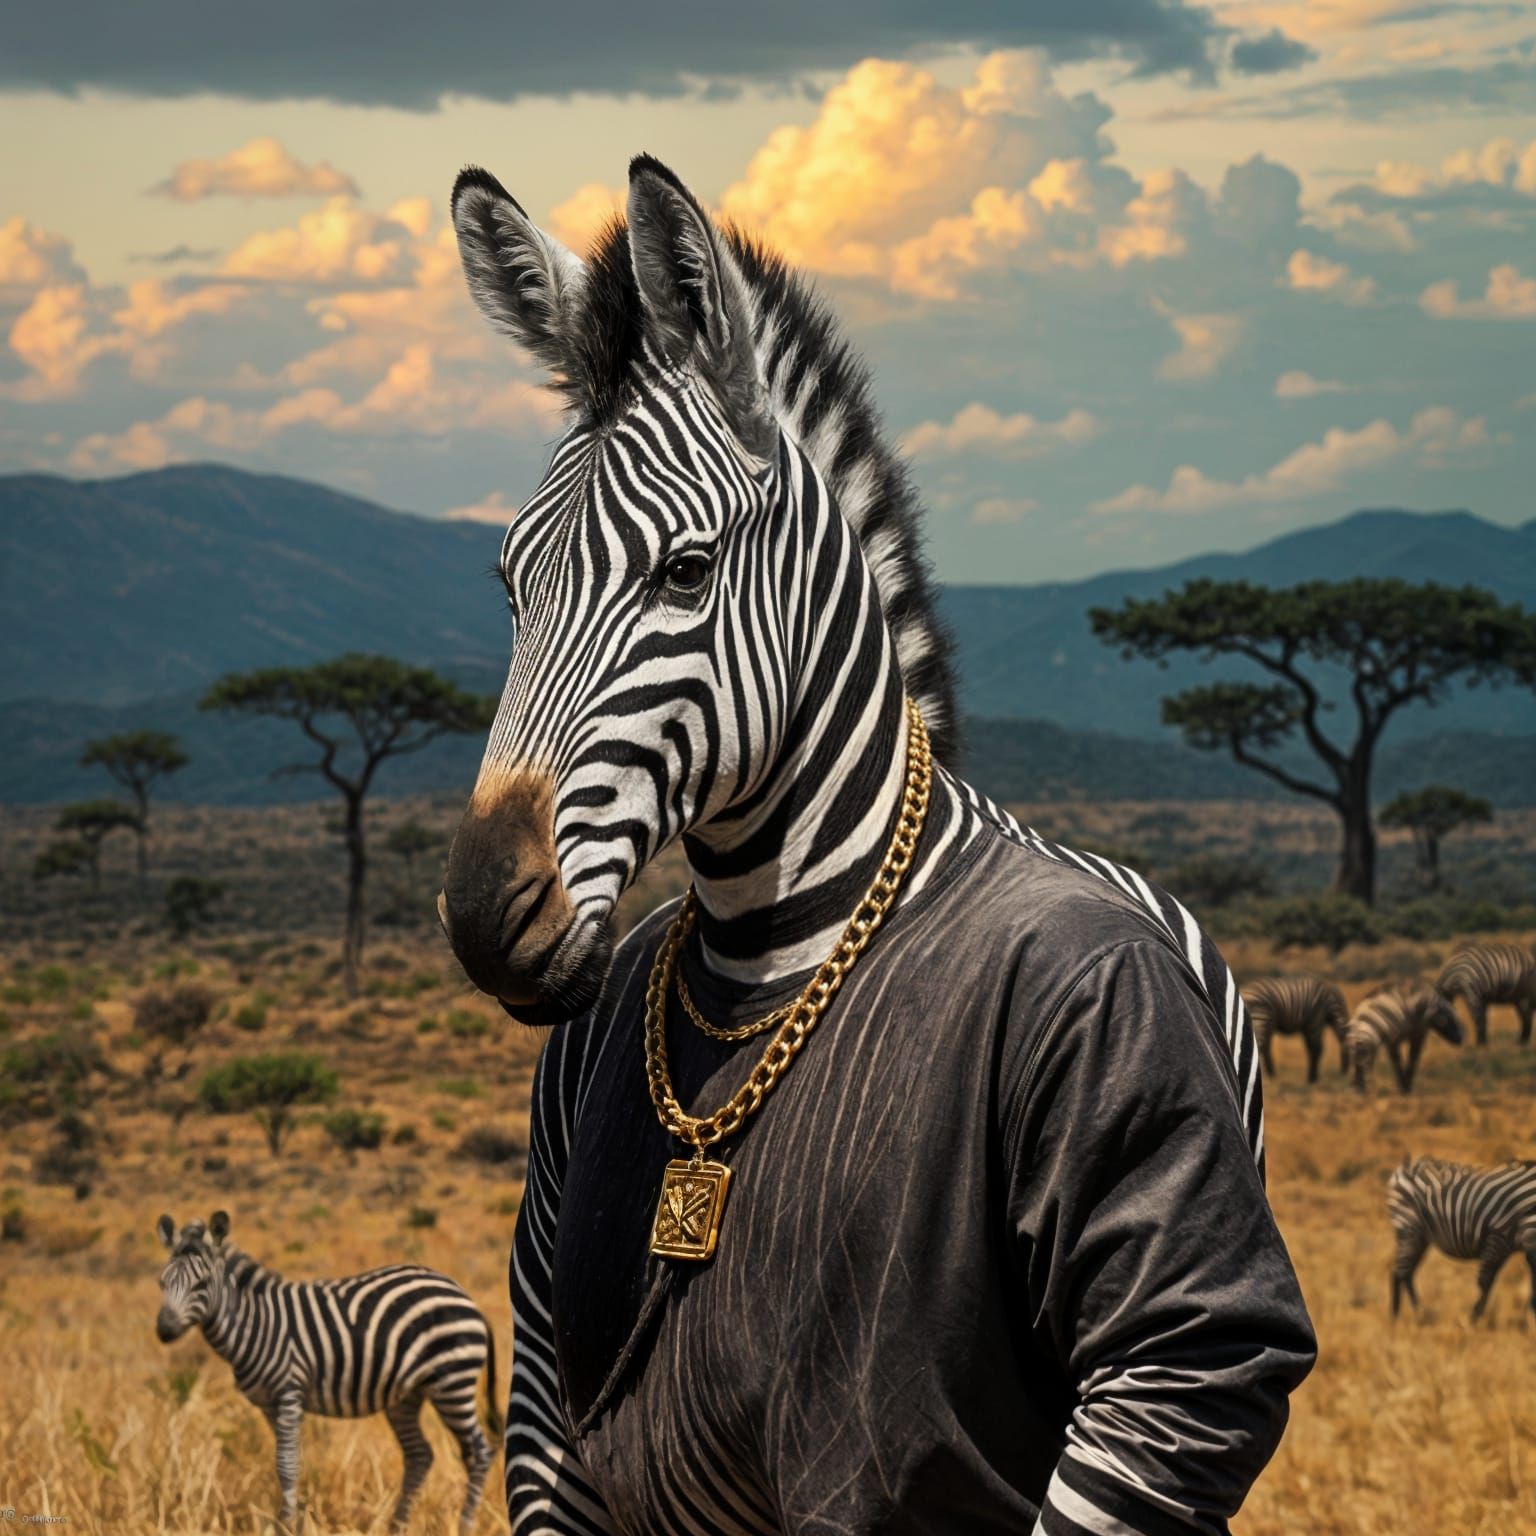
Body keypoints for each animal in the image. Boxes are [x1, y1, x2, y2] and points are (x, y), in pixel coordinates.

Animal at [154, 1211, 498, 1531]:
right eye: (162, 1283)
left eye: (200, 1284)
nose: (164, 1331)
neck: (257, 1322)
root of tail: (462, 1292)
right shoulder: (269, 1403)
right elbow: (292, 1460)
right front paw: (298, 1517)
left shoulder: (289, 1391)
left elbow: (286, 1464)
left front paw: (285, 1525)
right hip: (407, 1395)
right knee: (420, 1455)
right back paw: (397, 1526)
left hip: (453, 1382)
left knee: (480, 1452)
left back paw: (465, 1525)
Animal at [1387, 1157, 1536, 1320]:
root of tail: (1405, 1167)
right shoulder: (1497, 1235)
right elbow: (1484, 1282)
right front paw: (1473, 1320)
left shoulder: (1510, 1247)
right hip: (1408, 1227)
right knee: (1400, 1272)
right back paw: (1402, 1317)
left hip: (1420, 1236)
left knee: (1406, 1272)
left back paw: (1413, 1314)